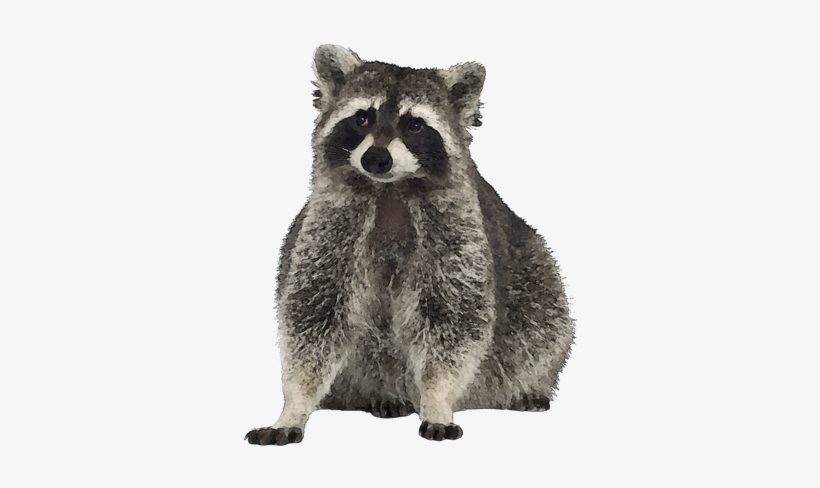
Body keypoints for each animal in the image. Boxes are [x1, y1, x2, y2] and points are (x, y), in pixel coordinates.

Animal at [245, 45, 574, 445]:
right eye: (362, 119)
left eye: (414, 125)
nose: (376, 158)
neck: (390, 189)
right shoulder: (332, 225)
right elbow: (314, 315)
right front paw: (293, 406)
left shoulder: (455, 231)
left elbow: (453, 319)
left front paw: (437, 399)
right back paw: (382, 396)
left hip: (538, 279)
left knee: (546, 321)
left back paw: (530, 385)